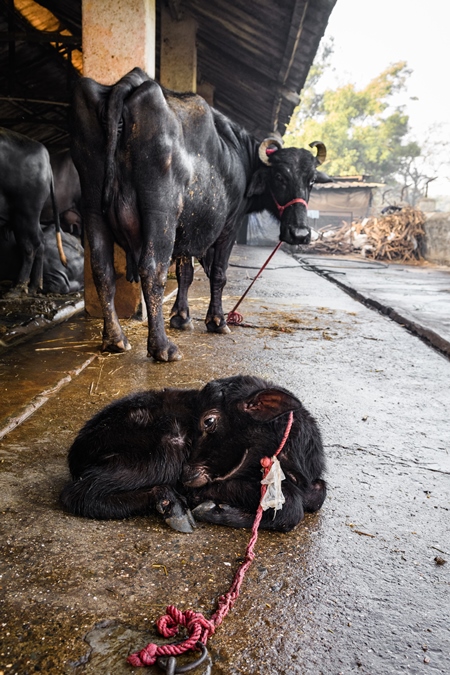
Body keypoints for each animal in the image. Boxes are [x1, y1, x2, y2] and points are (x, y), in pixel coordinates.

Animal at [0, 127, 67, 296]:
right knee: (40, 241)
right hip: (29, 215)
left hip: (25, 211)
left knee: (30, 245)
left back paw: (17, 288)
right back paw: (33, 286)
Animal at [60, 374, 326, 532]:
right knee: (78, 494)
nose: (186, 474)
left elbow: (318, 493)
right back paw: (172, 505)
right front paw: (212, 509)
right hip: (164, 452)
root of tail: (78, 449)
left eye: (209, 421)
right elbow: (292, 507)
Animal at [70, 68, 330, 362]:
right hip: (161, 213)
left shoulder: (189, 229)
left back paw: (115, 339)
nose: (300, 234)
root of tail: (126, 85)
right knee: (152, 269)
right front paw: (217, 321)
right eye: (279, 177)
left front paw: (181, 317)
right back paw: (162, 347)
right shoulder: (229, 225)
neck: (243, 156)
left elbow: (185, 273)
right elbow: (218, 273)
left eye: (311, 181)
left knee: (101, 270)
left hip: (93, 207)